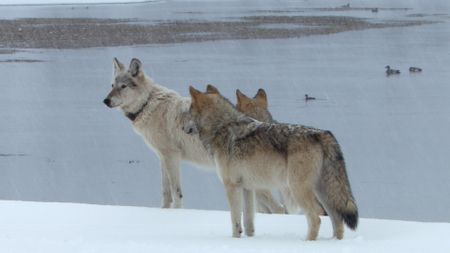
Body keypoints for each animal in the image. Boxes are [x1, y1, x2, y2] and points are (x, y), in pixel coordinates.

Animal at [103, 56, 284, 211]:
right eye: (112, 86)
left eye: (123, 86)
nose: (105, 101)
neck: (147, 104)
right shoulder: (162, 157)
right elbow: (165, 192)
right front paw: (164, 212)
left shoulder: (172, 156)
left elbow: (176, 192)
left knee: (279, 209)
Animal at [183, 85, 358, 239]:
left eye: (189, 111)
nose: (183, 128)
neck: (222, 127)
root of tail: (324, 134)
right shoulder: (248, 188)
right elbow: (248, 222)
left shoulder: (231, 187)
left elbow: (235, 222)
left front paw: (234, 240)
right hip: (323, 193)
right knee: (337, 220)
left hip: (298, 189)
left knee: (316, 217)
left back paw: (307, 242)